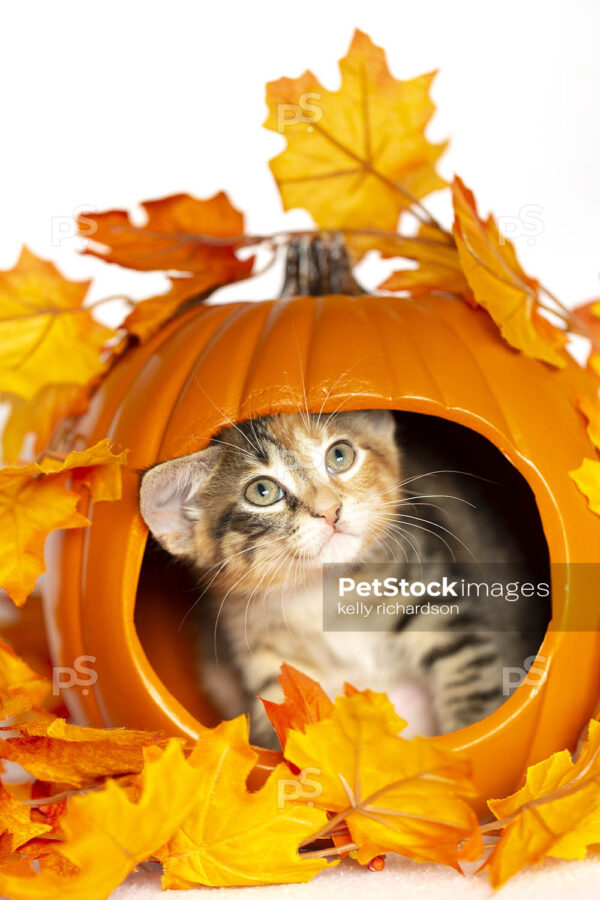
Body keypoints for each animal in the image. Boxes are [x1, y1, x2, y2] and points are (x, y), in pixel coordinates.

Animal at [141, 410, 548, 744]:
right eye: (262, 491)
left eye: (339, 456)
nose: (330, 510)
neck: (316, 591)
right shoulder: (268, 664)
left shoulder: (442, 610)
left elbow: (472, 695)